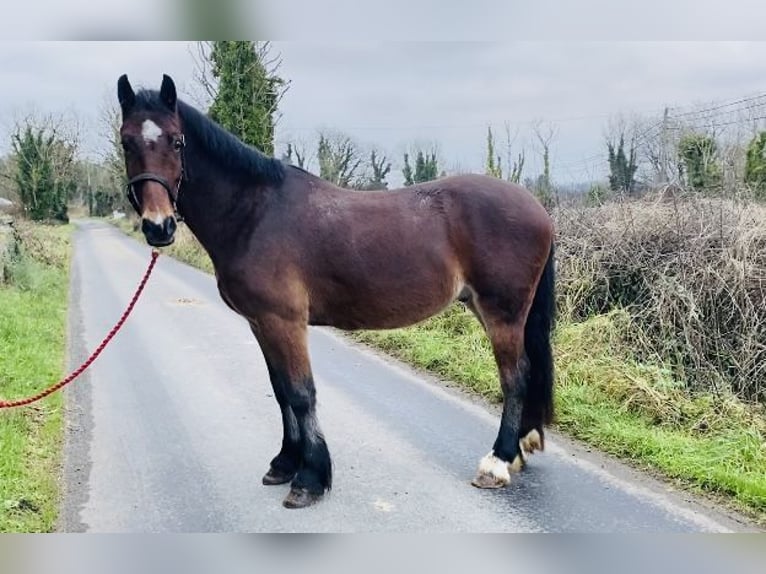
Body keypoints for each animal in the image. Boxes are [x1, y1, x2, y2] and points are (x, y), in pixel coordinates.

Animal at [115, 74, 560, 510]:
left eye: (176, 141)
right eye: (126, 142)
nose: (158, 226)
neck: (255, 214)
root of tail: (536, 206)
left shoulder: (285, 322)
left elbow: (300, 393)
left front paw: (309, 478)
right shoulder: (261, 322)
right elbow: (280, 391)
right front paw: (285, 463)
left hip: (502, 312)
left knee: (515, 377)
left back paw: (497, 462)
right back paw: (518, 449)